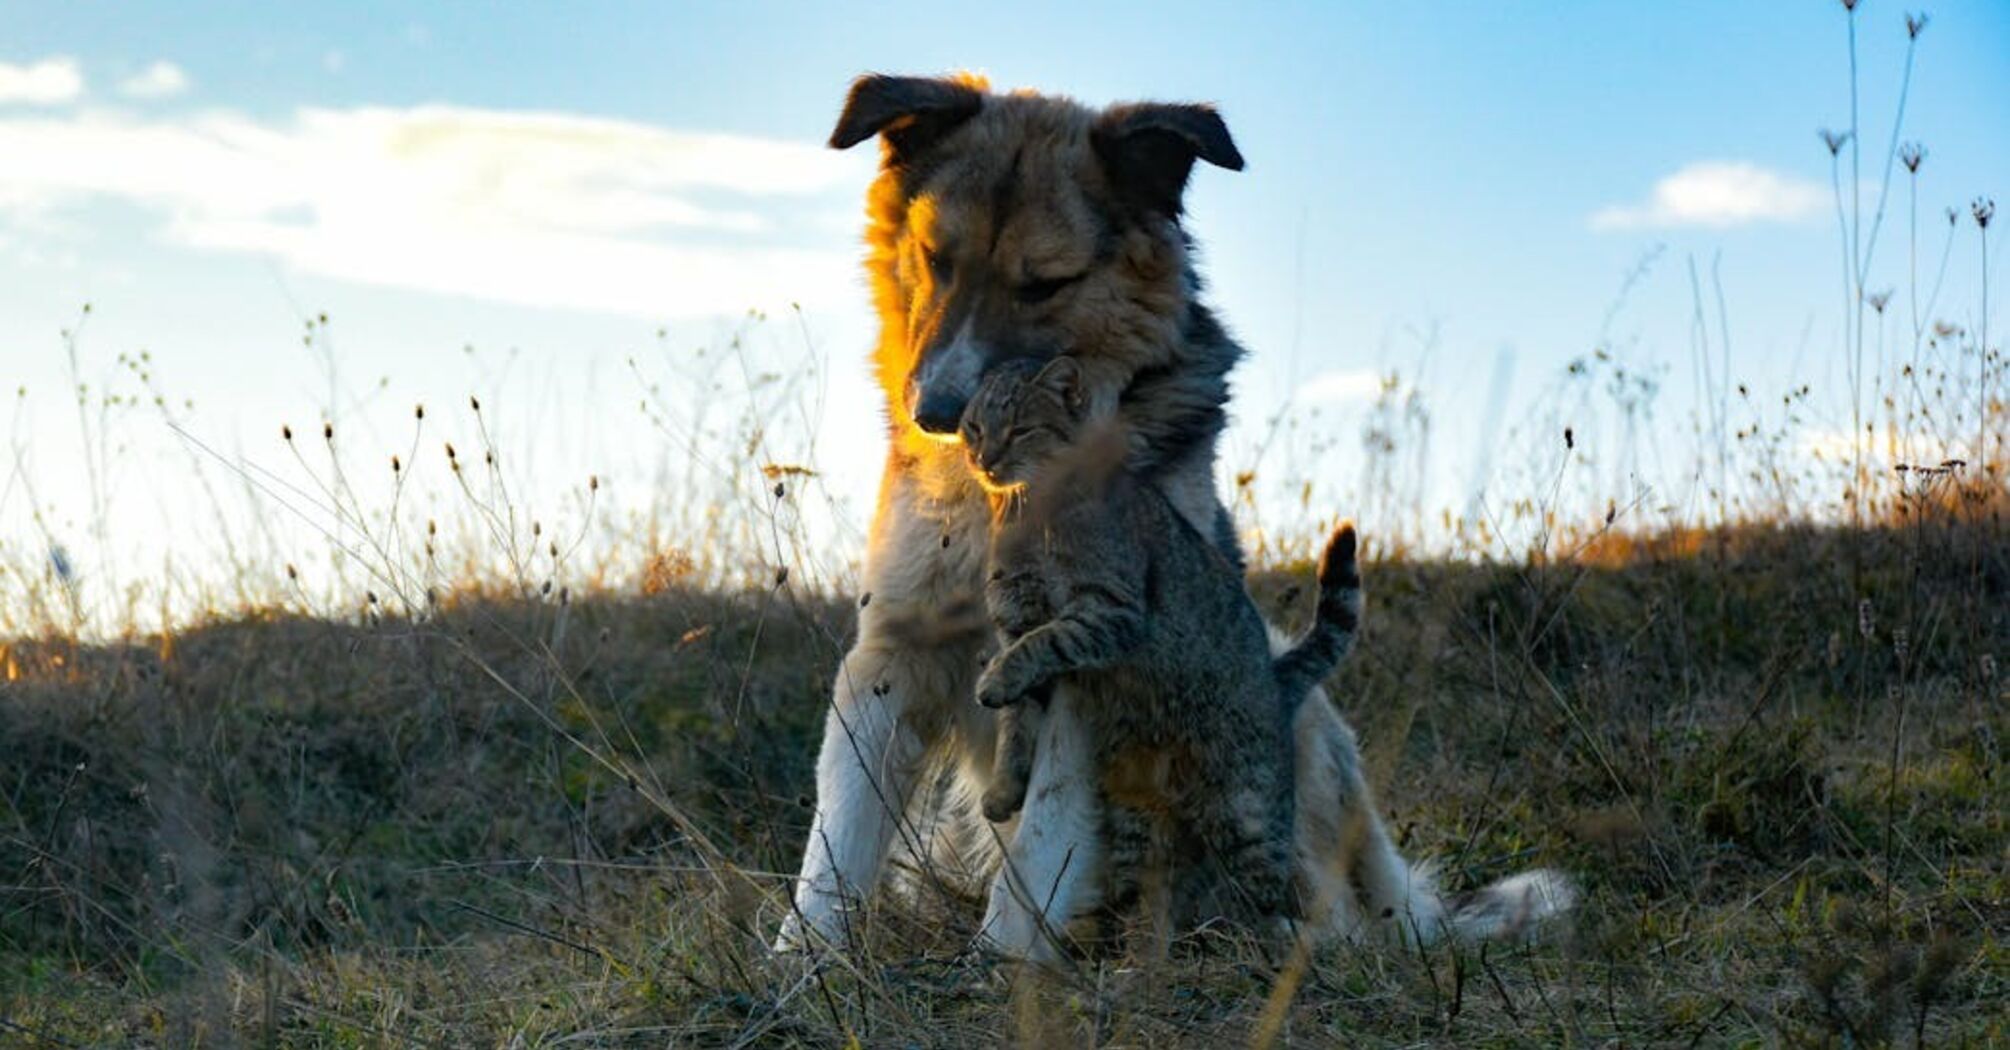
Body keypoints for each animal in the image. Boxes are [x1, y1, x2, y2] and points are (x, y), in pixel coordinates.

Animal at [771, 73, 1567, 957]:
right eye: (936, 259)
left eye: (1044, 284)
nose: (939, 415)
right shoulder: (894, 650)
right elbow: (838, 842)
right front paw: (802, 966)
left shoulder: (1087, 665)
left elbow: (1037, 847)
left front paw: (999, 967)